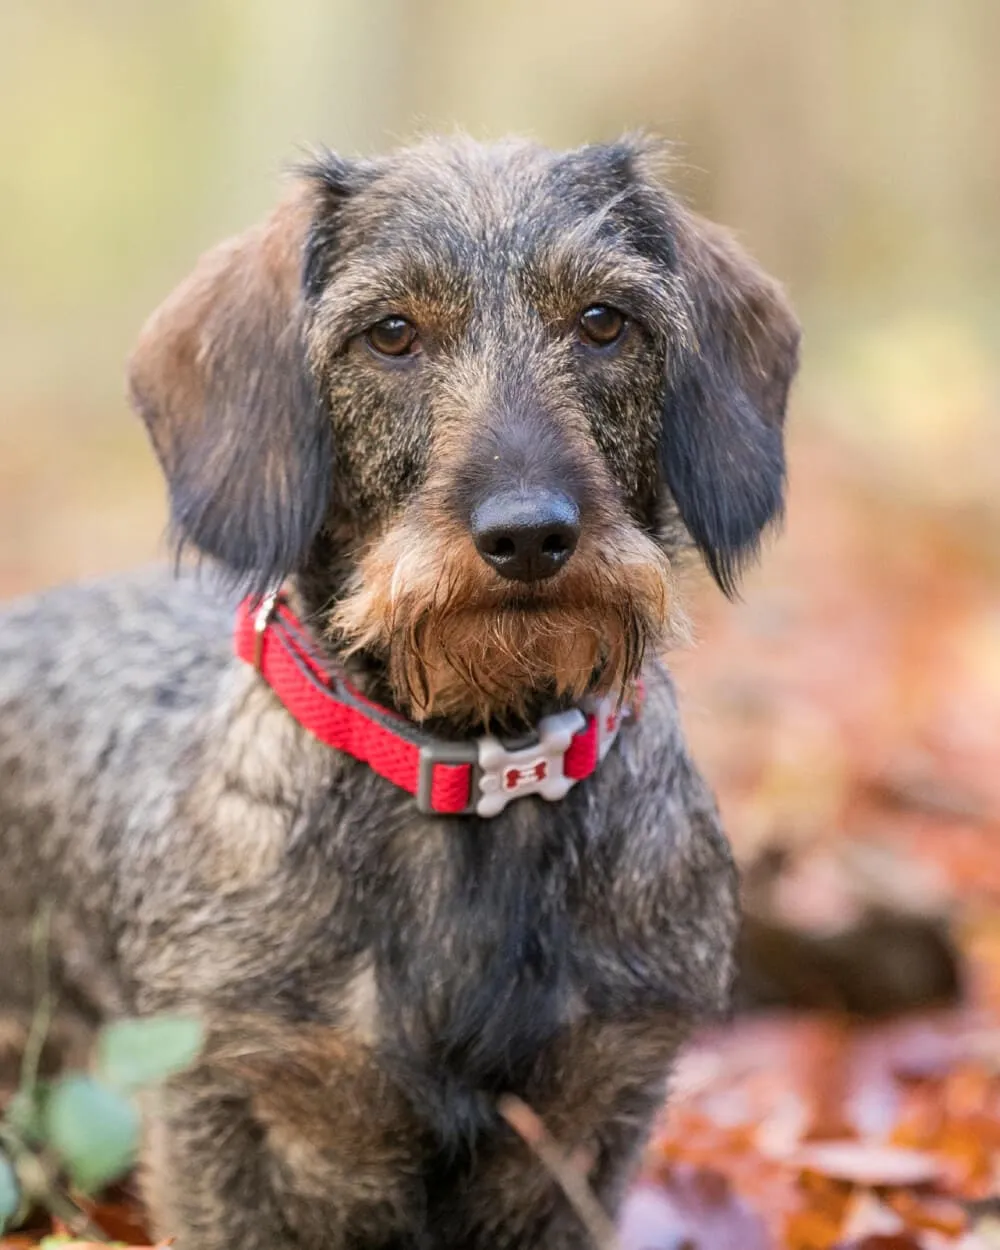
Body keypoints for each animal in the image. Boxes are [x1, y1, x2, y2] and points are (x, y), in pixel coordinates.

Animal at [0, 136, 795, 1250]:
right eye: (390, 334)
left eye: (604, 321)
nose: (528, 533)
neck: (475, 770)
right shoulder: (222, 1101)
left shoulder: (597, 1110)